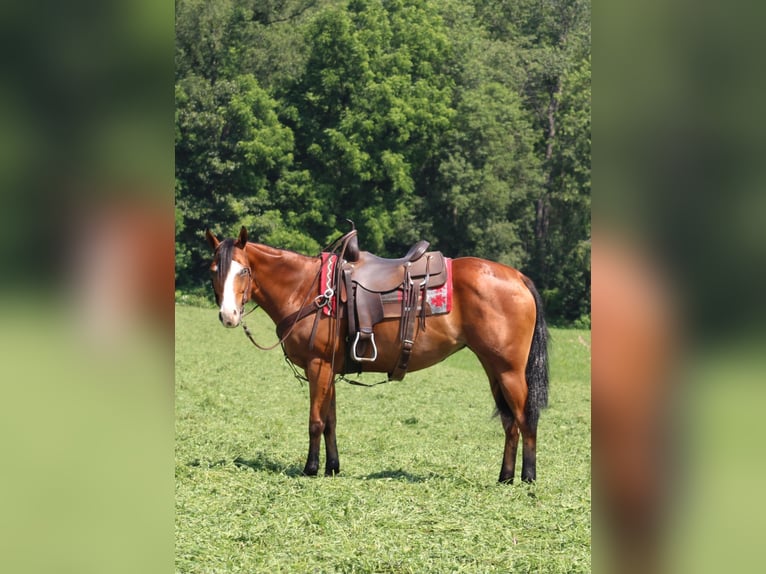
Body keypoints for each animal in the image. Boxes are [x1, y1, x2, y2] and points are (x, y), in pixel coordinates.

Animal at [205, 226, 549, 483]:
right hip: (494, 369)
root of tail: (518, 277)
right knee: (510, 423)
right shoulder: (329, 369)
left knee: (525, 419)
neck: (305, 288)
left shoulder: (318, 365)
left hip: (509, 370)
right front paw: (332, 468)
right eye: (214, 270)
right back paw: (505, 477)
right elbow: (330, 421)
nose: (228, 316)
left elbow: (315, 421)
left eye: (244, 270)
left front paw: (311, 469)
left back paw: (528, 478)